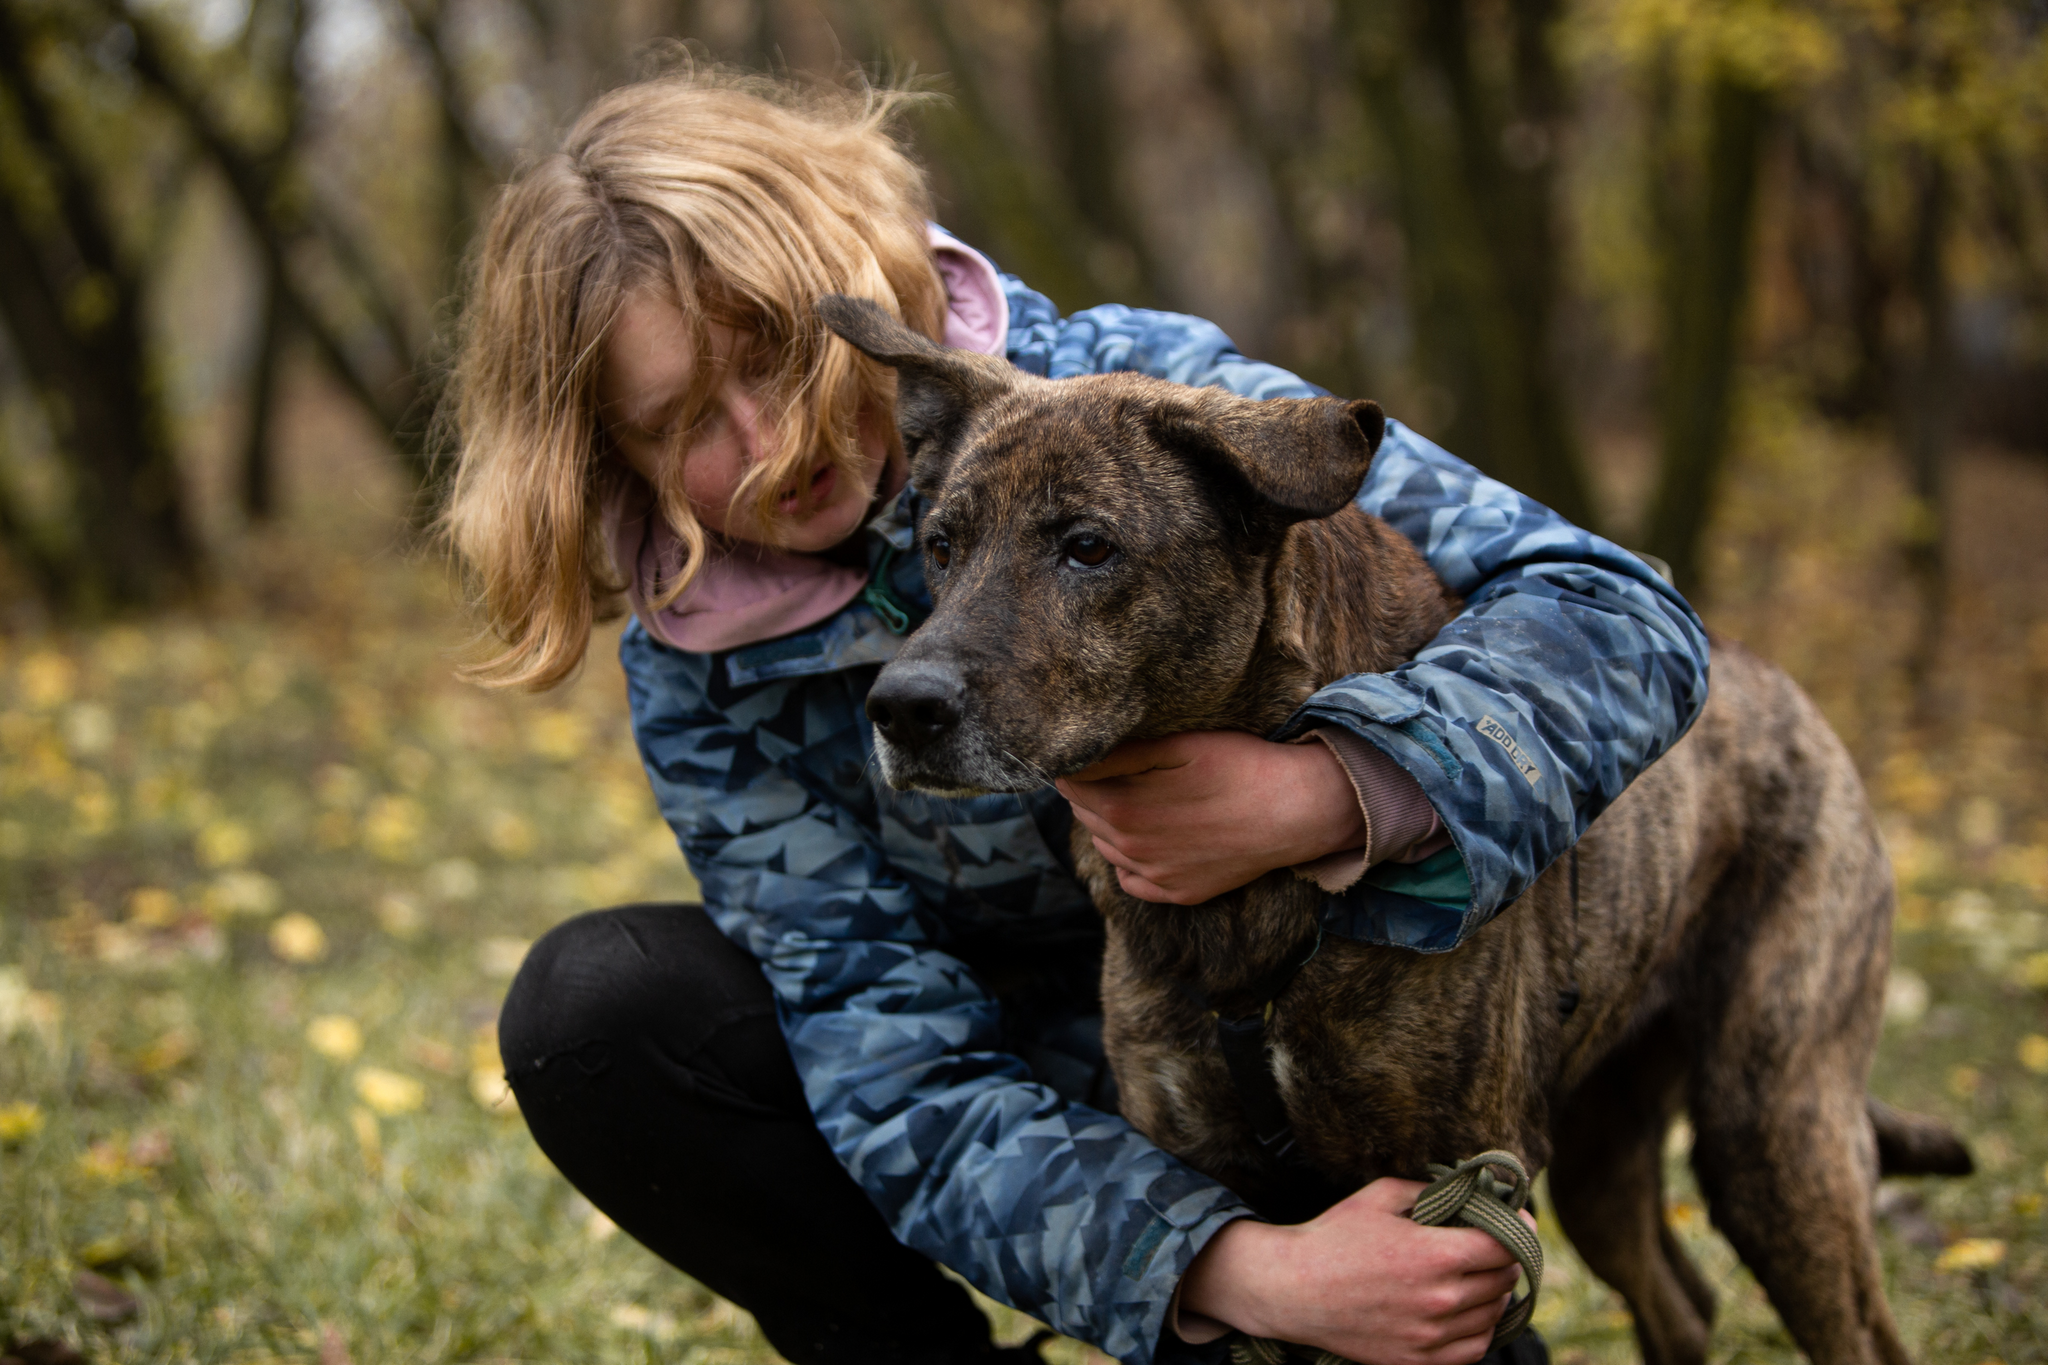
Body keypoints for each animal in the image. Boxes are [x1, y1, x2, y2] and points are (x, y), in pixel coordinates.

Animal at [815, 296, 1966, 1365]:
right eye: (940, 547)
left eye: (1088, 546)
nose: (899, 708)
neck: (1242, 916)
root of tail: (1795, 698)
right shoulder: (1217, 1180)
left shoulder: (1450, 1213)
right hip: (1605, 1147)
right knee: (1681, 1303)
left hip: (1772, 1136)